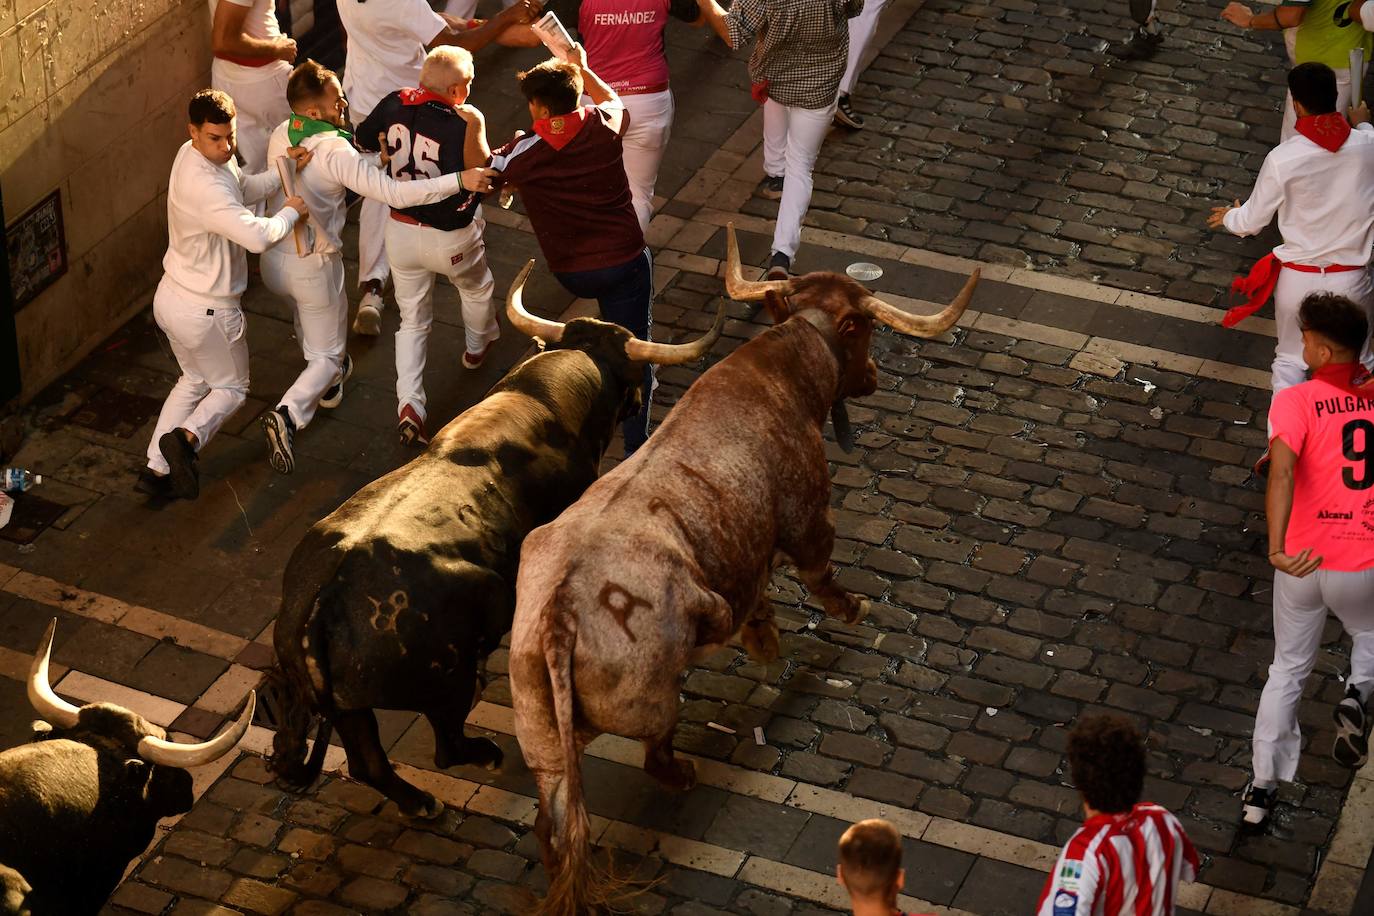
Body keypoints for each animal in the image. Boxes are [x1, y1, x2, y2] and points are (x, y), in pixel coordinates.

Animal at [513, 223, 978, 916]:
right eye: (862, 328)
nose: (871, 375)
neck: (782, 372)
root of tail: (562, 616)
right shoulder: (809, 520)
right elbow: (820, 575)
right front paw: (849, 612)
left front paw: (764, 636)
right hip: (650, 698)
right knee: (656, 757)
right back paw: (687, 767)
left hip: (542, 741)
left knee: (552, 824)